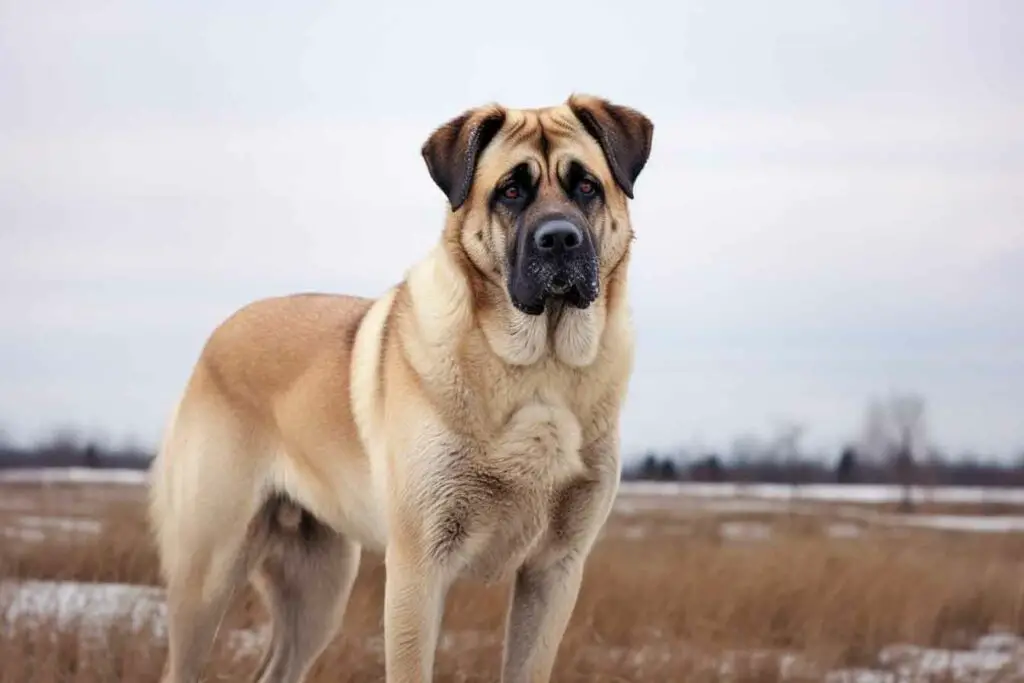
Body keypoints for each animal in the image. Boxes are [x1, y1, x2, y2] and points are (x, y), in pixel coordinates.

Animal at [148, 92, 651, 683]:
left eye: (586, 186)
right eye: (510, 191)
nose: (559, 238)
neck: (539, 367)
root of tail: (218, 335)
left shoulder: (554, 571)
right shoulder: (418, 567)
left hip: (318, 590)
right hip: (209, 572)